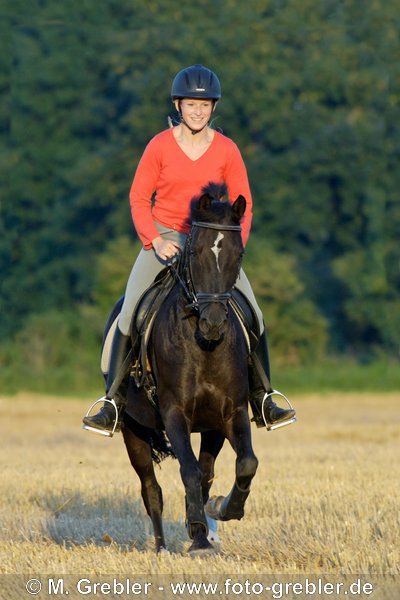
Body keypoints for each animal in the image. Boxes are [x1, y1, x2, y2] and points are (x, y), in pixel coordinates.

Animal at [122, 185, 260, 556]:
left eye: (239, 254)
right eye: (195, 251)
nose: (213, 324)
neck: (205, 347)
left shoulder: (230, 414)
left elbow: (244, 464)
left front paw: (221, 510)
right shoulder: (174, 413)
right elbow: (189, 472)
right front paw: (198, 535)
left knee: (207, 472)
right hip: (132, 429)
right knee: (151, 489)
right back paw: (161, 548)